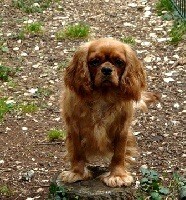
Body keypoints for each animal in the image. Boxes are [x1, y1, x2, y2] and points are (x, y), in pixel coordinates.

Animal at [60, 38, 159, 188]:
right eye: (94, 61)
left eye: (119, 62)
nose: (106, 69)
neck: (103, 95)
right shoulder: (74, 127)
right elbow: (77, 152)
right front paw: (77, 173)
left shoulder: (122, 129)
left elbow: (119, 154)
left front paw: (118, 176)